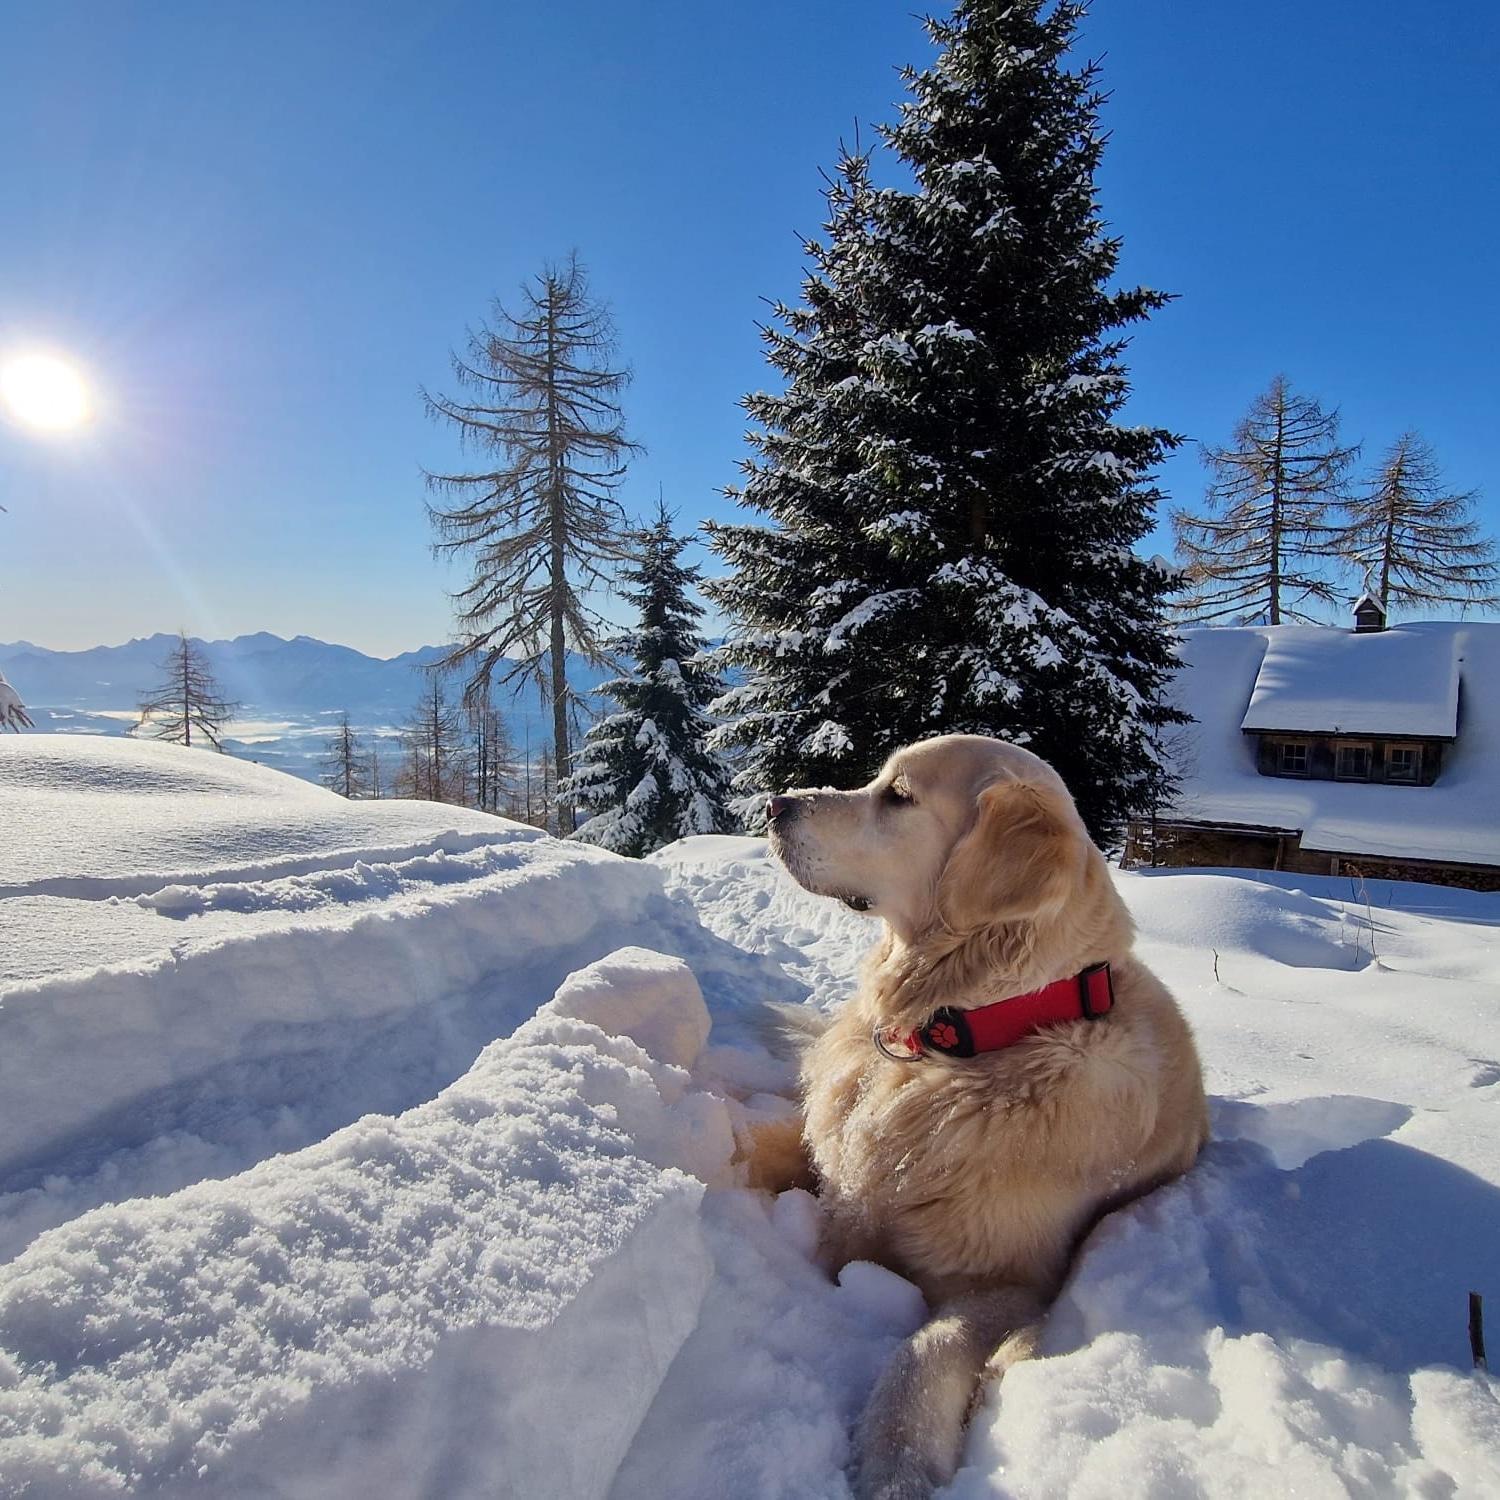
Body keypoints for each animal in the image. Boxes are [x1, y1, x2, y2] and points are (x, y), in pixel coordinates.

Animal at [750, 732, 1206, 1494]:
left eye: (898, 796)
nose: (774, 803)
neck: (954, 1040)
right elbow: (753, 1144)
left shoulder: (1009, 1284)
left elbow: (925, 1350)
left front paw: (895, 1465)